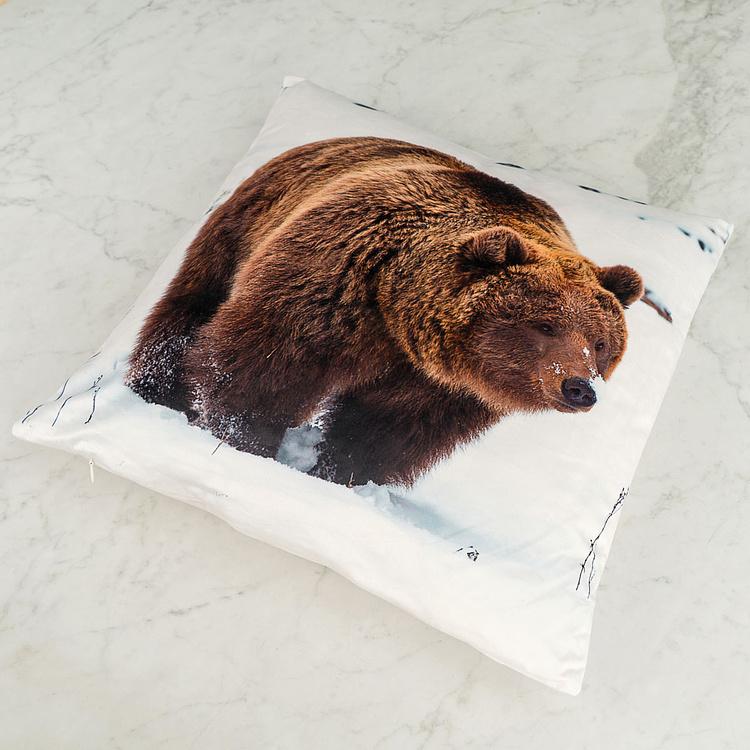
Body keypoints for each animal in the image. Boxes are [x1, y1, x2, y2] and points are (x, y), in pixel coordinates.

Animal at [126, 136, 644, 486]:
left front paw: (340, 475)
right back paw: (153, 390)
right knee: (188, 310)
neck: (402, 320)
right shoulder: (340, 279)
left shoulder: (442, 389)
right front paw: (242, 436)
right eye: (545, 324)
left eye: (601, 343)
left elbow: (386, 432)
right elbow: (269, 362)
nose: (580, 387)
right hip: (240, 231)